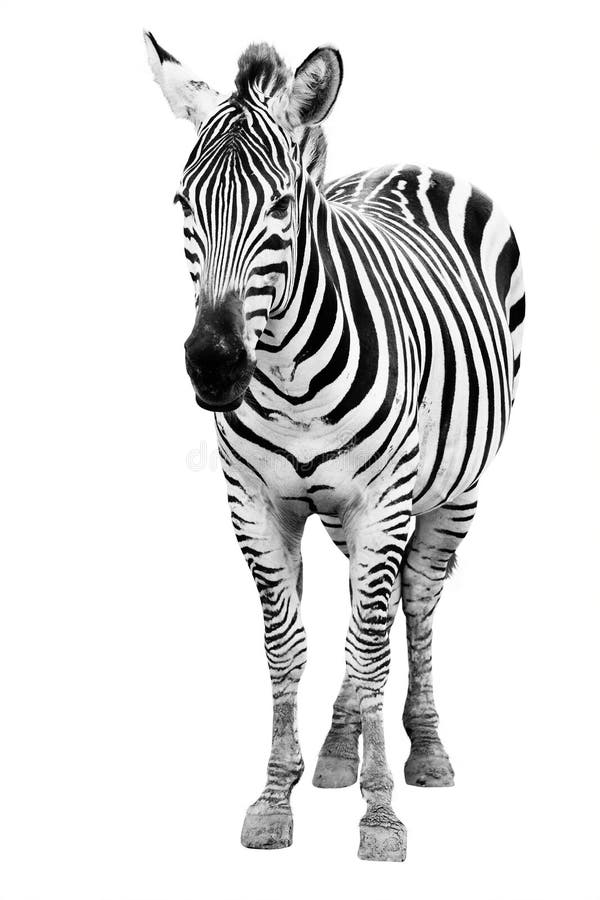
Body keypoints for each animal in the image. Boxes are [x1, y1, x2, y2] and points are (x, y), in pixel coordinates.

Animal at [145, 32, 525, 862]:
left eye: (282, 206)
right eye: (183, 205)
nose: (214, 366)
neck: (290, 378)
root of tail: (409, 166)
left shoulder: (382, 504)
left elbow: (373, 646)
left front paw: (380, 818)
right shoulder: (255, 506)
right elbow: (289, 647)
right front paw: (274, 799)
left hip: (452, 492)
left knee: (413, 601)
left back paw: (426, 750)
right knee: (364, 604)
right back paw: (337, 750)